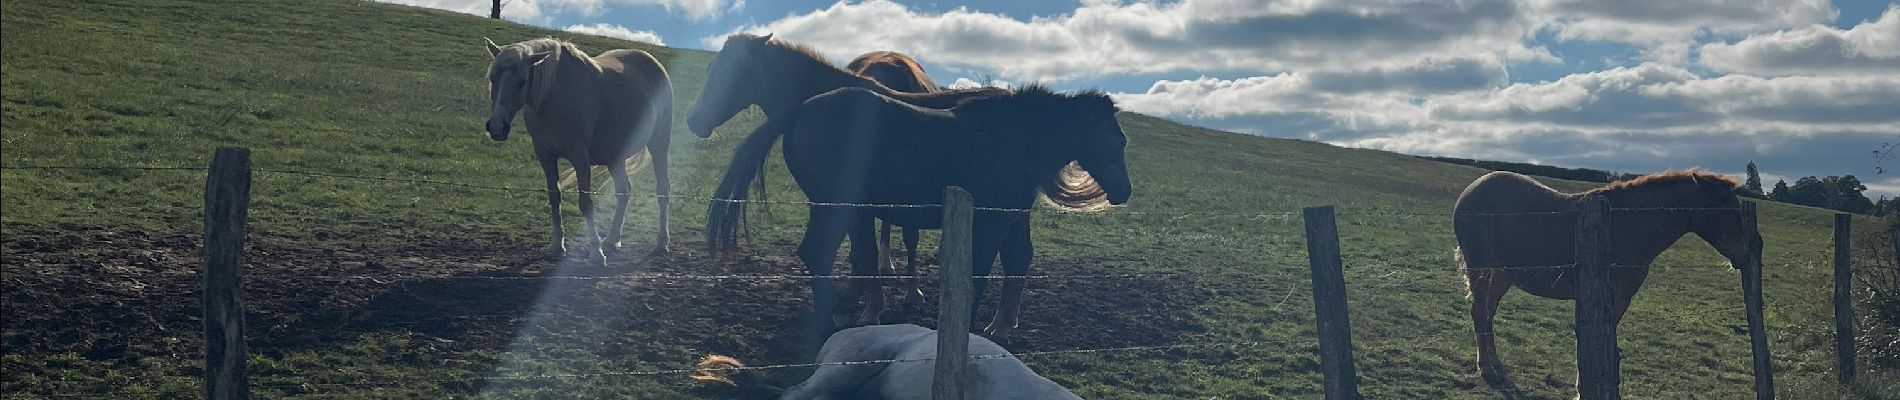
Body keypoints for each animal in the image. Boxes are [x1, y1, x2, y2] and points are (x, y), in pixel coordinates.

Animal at [482, 38, 676, 269]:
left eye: (522, 81)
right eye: (493, 78)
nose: (496, 127)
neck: (556, 97)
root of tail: (653, 63)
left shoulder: (580, 157)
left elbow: (586, 203)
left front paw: (596, 253)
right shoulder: (545, 155)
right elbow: (554, 197)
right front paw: (557, 246)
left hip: (659, 144)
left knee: (662, 191)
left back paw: (661, 244)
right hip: (615, 157)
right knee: (624, 191)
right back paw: (611, 239)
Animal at [729, 85, 1124, 343]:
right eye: (1117, 141)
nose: (1124, 191)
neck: (1013, 138)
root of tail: (801, 109)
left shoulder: (1007, 216)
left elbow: (1008, 263)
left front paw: (996, 327)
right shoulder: (991, 222)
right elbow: (978, 274)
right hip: (836, 208)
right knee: (818, 253)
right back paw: (830, 323)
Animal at [1451, 170, 1763, 392]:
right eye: (1725, 211)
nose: (1752, 250)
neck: (1624, 225)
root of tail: (1471, 190)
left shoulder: (1619, 299)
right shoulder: (1610, 296)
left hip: (1501, 275)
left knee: (1487, 314)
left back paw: (1495, 366)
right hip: (1482, 270)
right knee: (1479, 313)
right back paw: (1488, 370)